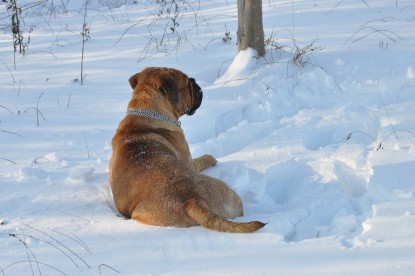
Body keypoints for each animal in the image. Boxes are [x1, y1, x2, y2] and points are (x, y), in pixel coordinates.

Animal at [109, 67, 266, 233]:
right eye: (186, 82)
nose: (194, 80)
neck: (147, 111)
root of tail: (193, 200)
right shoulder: (190, 161)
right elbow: (201, 159)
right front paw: (210, 158)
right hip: (232, 195)